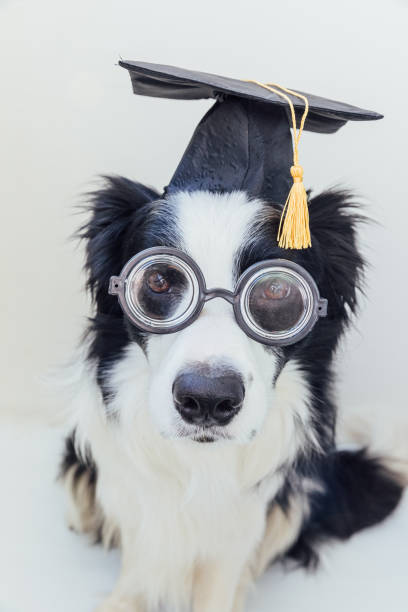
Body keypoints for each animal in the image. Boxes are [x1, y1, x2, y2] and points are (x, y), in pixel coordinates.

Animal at [59, 177, 404, 612]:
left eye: (276, 288)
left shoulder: (242, 521)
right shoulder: (141, 502)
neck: (201, 460)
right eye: (158, 280)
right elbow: (139, 565)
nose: (207, 400)